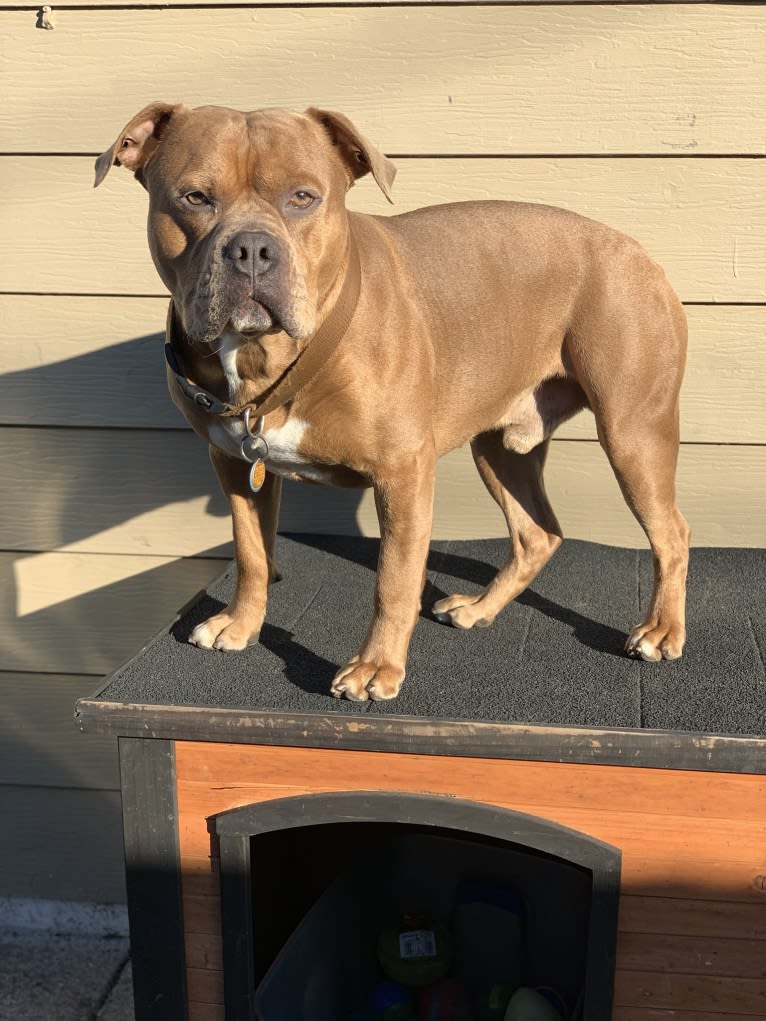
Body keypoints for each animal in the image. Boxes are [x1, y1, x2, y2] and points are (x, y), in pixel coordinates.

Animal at [94, 105, 690, 702]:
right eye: (195, 197)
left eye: (303, 197)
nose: (252, 250)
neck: (272, 355)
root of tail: (638, 250)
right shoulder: (235, 464)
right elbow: (251, 553)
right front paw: (241, 625)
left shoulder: (402, 472)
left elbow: (394, 578)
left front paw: (376, 666)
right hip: (499, 449)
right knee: (536, 534)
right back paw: (480, 608)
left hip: (633, 432)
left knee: (671, 532)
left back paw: (660, 631)